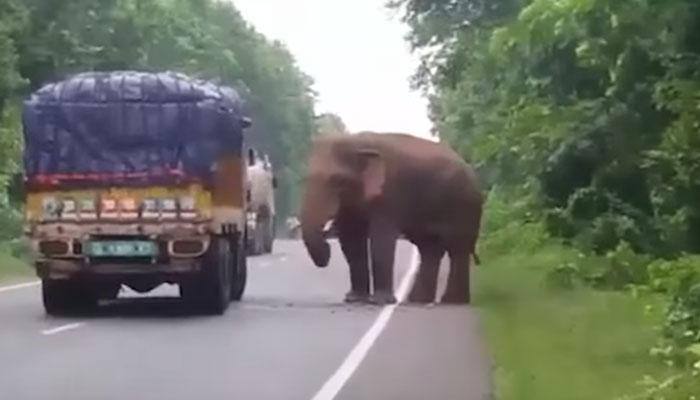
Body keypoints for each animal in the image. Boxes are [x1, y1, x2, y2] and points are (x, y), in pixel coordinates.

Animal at [300, 133, 482, 304]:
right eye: (305, 179)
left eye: (338, 181)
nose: (327, 251)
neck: (358, 141)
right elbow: (351, 240)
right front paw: (354, 299)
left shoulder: (389, 193)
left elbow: (381, 239)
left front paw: (379, 301)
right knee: (430, 248)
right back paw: (418, 300)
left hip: (464, 206)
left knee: (457, 248)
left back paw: (452, 301)